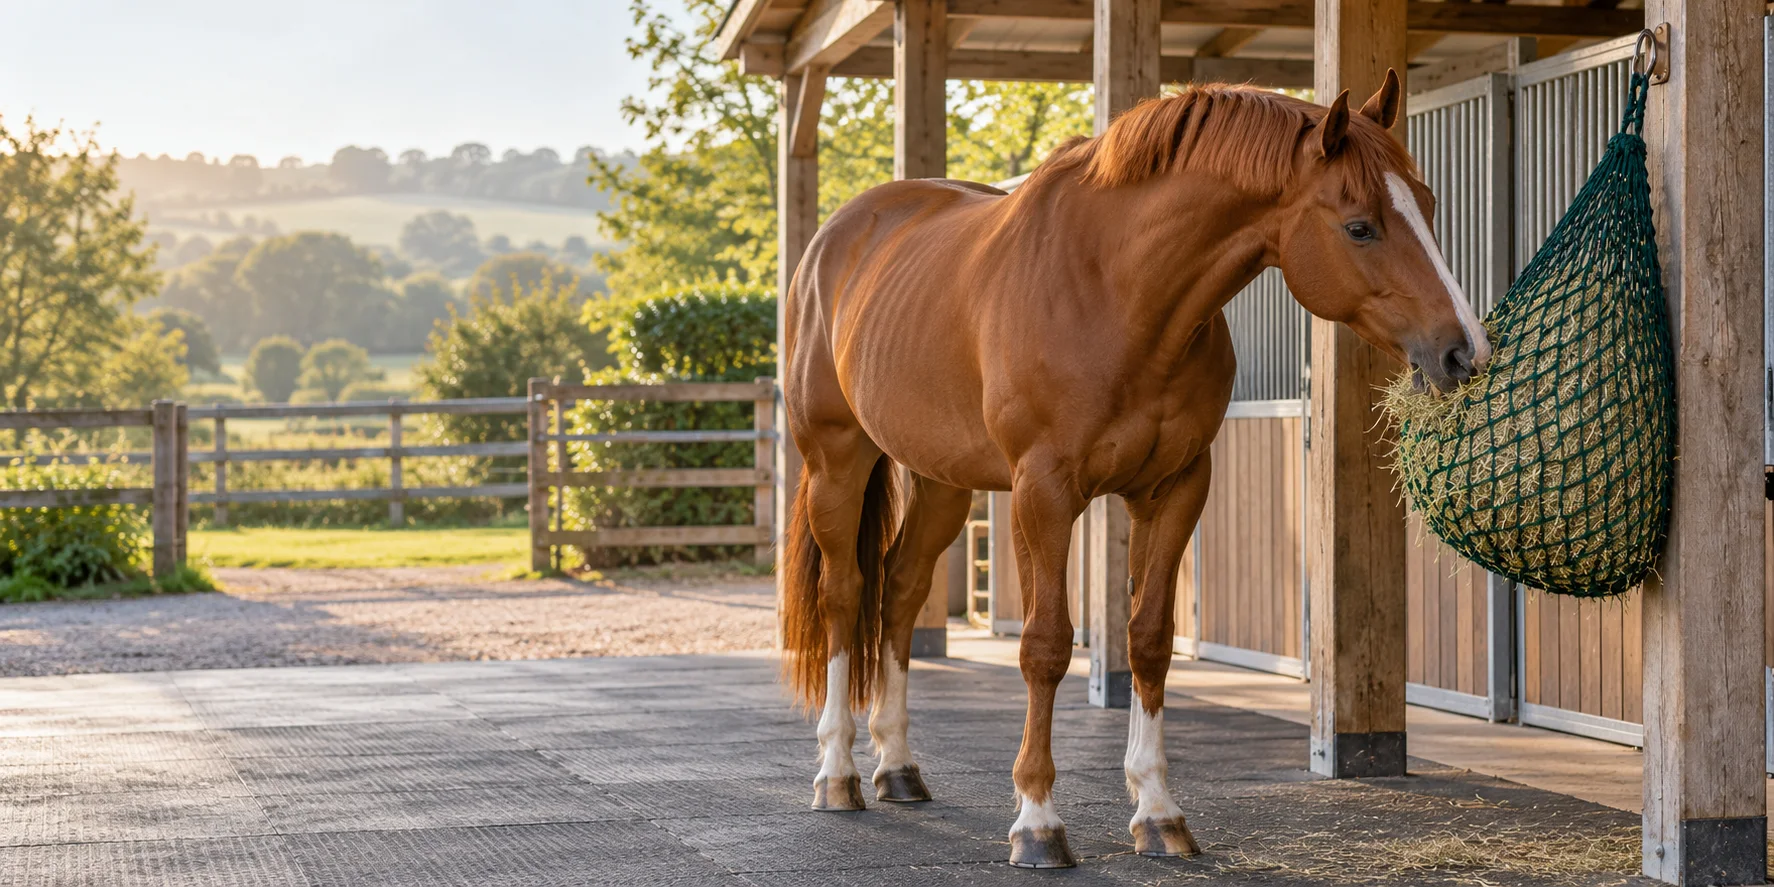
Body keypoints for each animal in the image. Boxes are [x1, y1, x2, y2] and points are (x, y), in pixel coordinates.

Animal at [777, 69, 1489, 869]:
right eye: (1360, 226)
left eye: (1427, 206)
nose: (1465, 351)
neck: (1115, 290)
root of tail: (835, 239)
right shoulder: (1043, 492)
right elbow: (1047, 645)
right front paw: (1038, 821)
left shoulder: (1175, 489)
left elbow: (1148, 639)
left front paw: (1158, 811)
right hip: (836, 460)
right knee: (844, 596)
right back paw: (837, 773)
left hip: (941, 481)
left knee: (898, 593)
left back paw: (897, 768)